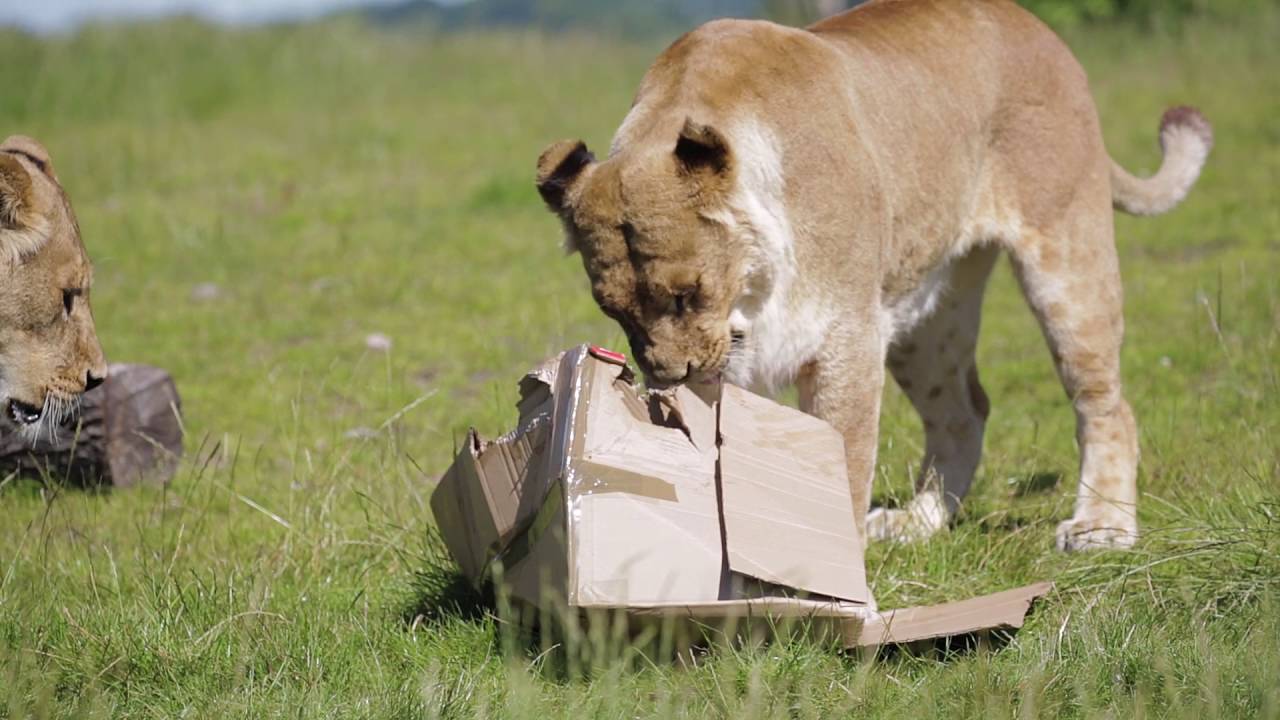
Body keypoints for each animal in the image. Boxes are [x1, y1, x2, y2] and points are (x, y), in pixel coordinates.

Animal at [535, 0, 1213, 552]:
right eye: (615, 312)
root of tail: (1038, 28)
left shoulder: (846, 341)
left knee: (1106, 404)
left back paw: (1103, 527)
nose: (670, 376)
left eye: (686, 294)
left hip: (1066, 258)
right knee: (964, 411)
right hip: (921, 318)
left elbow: (843, 464)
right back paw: (917, 523)